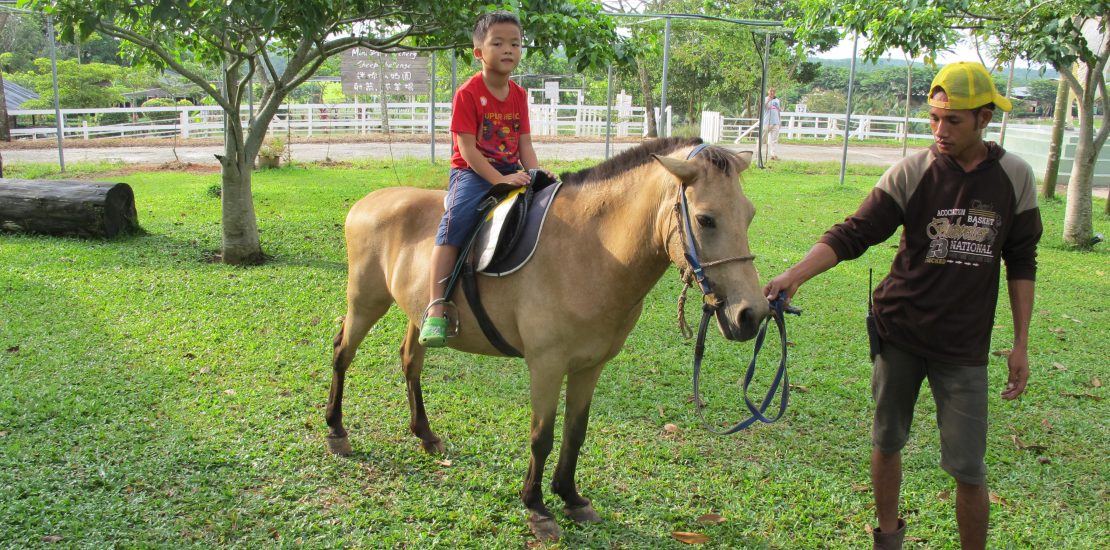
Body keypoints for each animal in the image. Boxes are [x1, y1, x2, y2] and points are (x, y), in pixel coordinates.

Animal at [324, 137, 768, 542]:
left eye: (750, 215)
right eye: (706, 219)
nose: (752, 314)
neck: (591, 250)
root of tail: (367, 202)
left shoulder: (590, 366)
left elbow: (576, 432)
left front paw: (570, 497)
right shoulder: (546, 365)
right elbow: (542, 437)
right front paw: (537, 507)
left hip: (416, 313)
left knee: (410, 362)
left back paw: (425, 434)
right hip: (365, 301)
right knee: (343, 353)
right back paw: (336, 431)